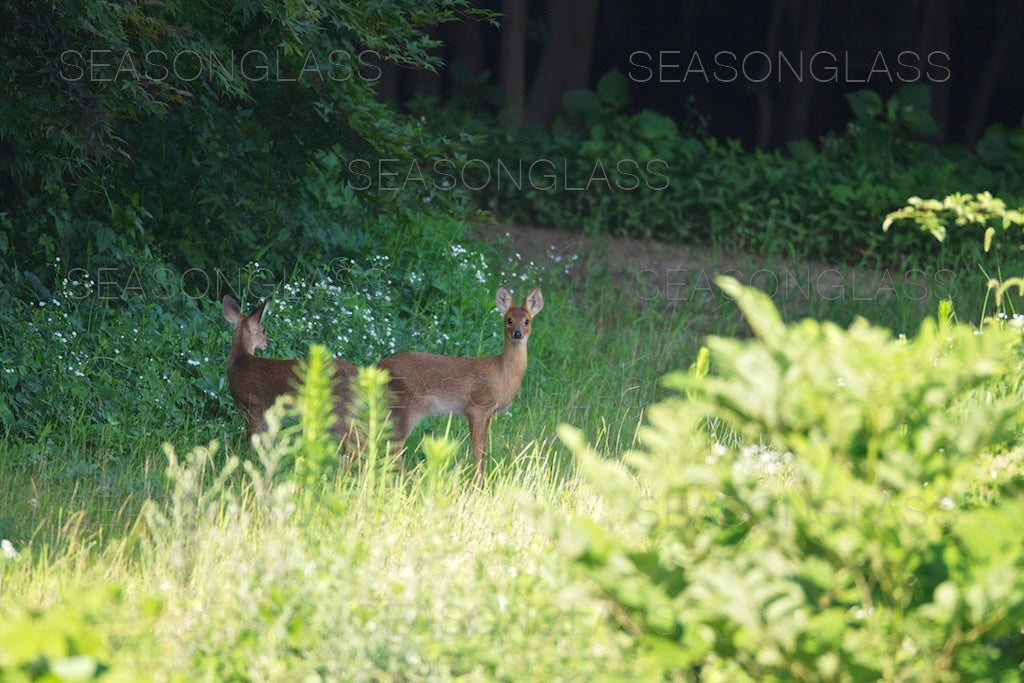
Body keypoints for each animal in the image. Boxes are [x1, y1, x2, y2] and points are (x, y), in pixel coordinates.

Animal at [380, 286, 544, 483]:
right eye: (509, 320)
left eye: (527, 321)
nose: (517, 333)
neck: (502, 373)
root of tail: (380, 366)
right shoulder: (476, 407)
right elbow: (477, 448)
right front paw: (478, 482)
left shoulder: (489, 414)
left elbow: (483, 448)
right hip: (410, 405)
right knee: (394, 446)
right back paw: (410, 480)